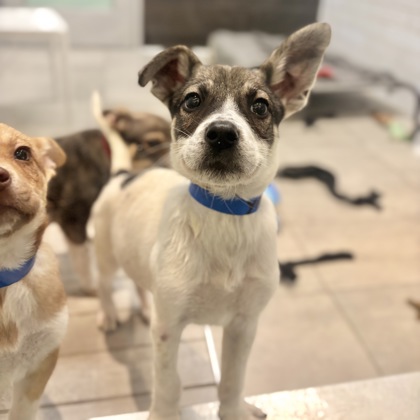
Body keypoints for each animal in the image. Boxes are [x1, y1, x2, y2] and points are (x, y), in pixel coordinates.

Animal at [92, 23, 331, 420]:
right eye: (192, 101)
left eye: (260, 106)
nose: (221, 133)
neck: (224, 213)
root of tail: (124, 175)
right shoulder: (168, 328)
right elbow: (169, 383)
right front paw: (163, 413)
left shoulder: (244, 325)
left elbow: (233, 378)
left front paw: (233, 410)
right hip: (107, 254)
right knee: (106, 286)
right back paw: (110, 314)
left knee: (140, 284)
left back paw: (143, 306)